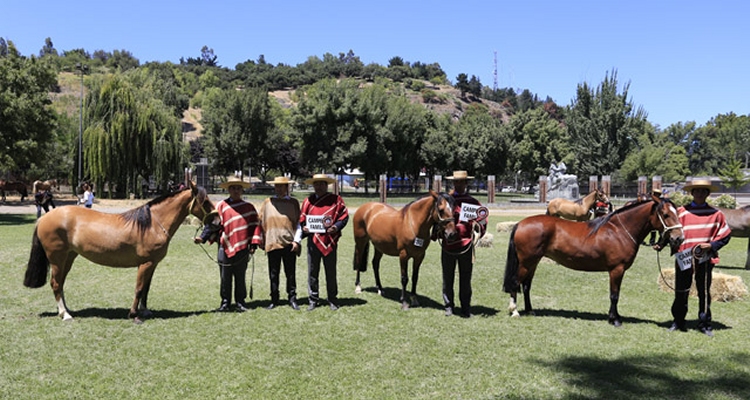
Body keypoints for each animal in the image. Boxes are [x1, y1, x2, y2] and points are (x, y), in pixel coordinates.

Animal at [25, 183, 213, 324]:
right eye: (205, 202)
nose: (217, 219)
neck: (152, 225)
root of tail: (44, 218)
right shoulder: (145, 264)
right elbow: (139, 288)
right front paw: (134, 315)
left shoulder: (152, 264)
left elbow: (146, 288)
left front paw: (145, 311)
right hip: (57, 258)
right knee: (56, 283)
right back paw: (65, 315)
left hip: (68, 257)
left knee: (61, 283)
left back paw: (65, 310)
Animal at [506, 195, 688, 326]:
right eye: (665, 214)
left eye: (677, 213)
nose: (679, 238)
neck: (619, 231)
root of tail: (520, 224)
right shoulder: (616, 270)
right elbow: (614, 295)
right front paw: (614, 319)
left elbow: (616, 294)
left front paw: (615, 316)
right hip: (526, 263)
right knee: (515, 283)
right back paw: (514, 311)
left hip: (533, 263)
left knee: (526, 286)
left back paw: (530, 310)